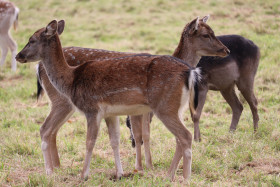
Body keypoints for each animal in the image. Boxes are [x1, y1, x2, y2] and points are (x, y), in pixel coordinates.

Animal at [15, 19, 228, 181]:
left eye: (31, 40)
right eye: (206, 34)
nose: (18, 55)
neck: (71, 78)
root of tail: (189, 72)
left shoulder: (93, 109)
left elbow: (92, 141)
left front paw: (85, 175)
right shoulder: (113, 113)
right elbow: (119, 139)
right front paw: (124, 172)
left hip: (165, 106)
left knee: (184, 136)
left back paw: (183, 177)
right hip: (174, 107)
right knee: (47, 129)